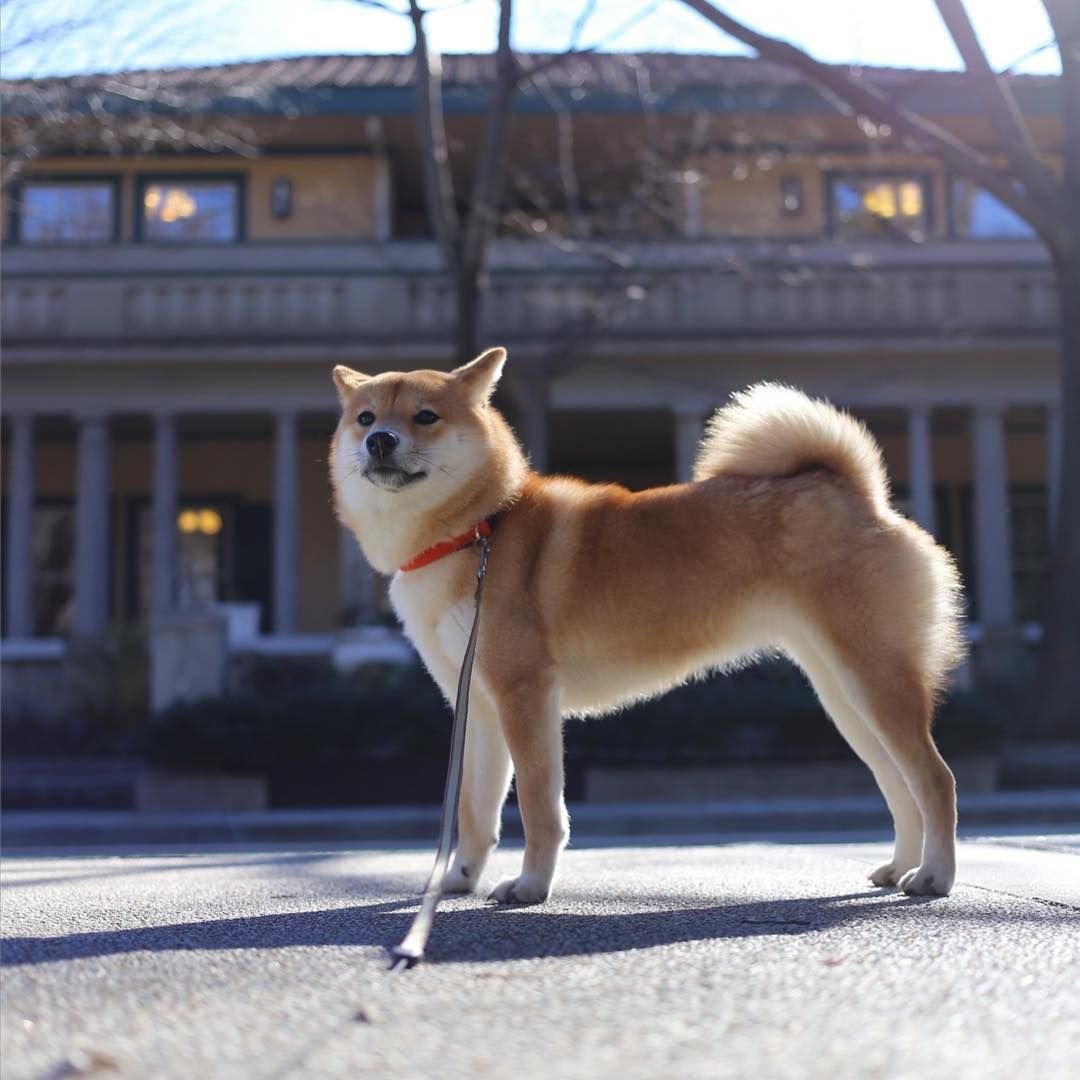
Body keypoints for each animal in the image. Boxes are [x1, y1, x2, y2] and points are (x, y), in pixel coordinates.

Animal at [328, 352, 963, 902]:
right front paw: (458, 879)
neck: (478, 531)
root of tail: (857, 494)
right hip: (844, 698)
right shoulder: (478, 706)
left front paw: (530, 887)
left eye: (425, 416)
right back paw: (901, 865)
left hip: (874, 682)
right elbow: (475, 813)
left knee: (935, 780)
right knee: (900, 787)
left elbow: (538, 807)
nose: (380, 440)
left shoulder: (524, 695)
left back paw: (933, 876)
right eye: (366, 418)